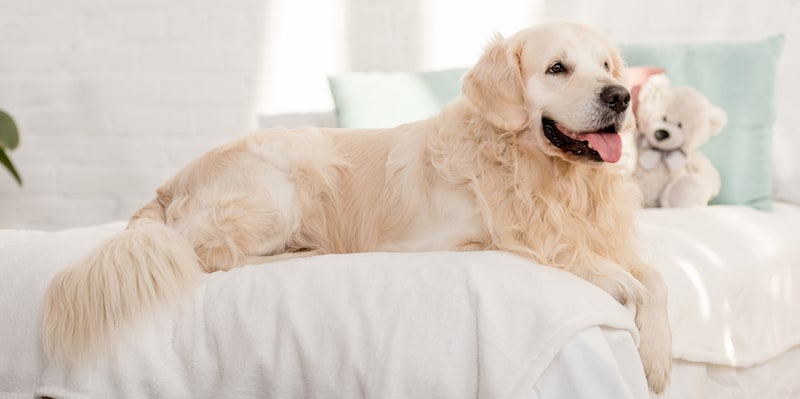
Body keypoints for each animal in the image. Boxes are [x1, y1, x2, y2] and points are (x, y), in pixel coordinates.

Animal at [40, 21, 672, 394]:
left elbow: (657, 277)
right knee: (209, 257)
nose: (620, 98)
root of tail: (168, 186)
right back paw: (300, 253)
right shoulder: (493, 239)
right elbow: (620, 279)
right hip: (292, 169)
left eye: (607, 66)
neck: (548, 176)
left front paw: (659, 359)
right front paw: (646, 353)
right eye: (557, 68)